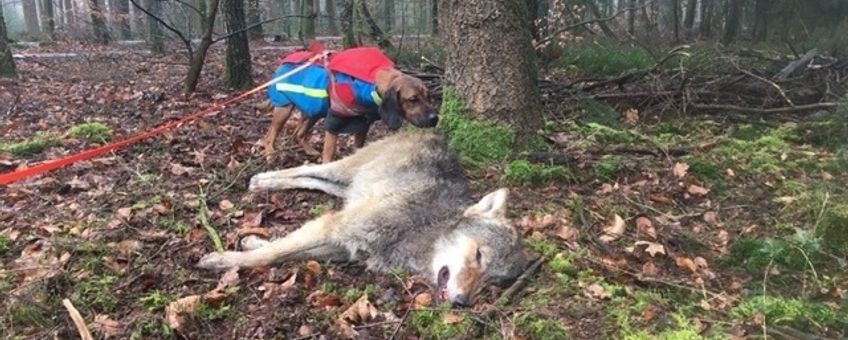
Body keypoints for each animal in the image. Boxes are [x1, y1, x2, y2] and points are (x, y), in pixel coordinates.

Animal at [195, 131, 532, 306]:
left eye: (491, 282)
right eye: (478, 255)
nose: (463, 303)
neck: (423, 227)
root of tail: (432, 131)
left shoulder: (343, 246)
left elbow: (282, 252)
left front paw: (251, 241)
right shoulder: (334, 226)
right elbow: (271, 255)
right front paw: (223, 261)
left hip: (349, 186)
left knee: (315, 180)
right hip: (345, 171)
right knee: (309, 167)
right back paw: (263, 180)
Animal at [258, 65, 438, 164]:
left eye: (428, 97)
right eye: (413, 99)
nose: (435, 118)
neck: (369, 85)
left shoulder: (363, 126)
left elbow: (359, 149)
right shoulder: (333, 124)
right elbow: (329, 154)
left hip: (313, 110)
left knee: (299, 133)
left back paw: (309, 150)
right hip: (284, 109)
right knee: (269, 135)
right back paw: (270, 155)